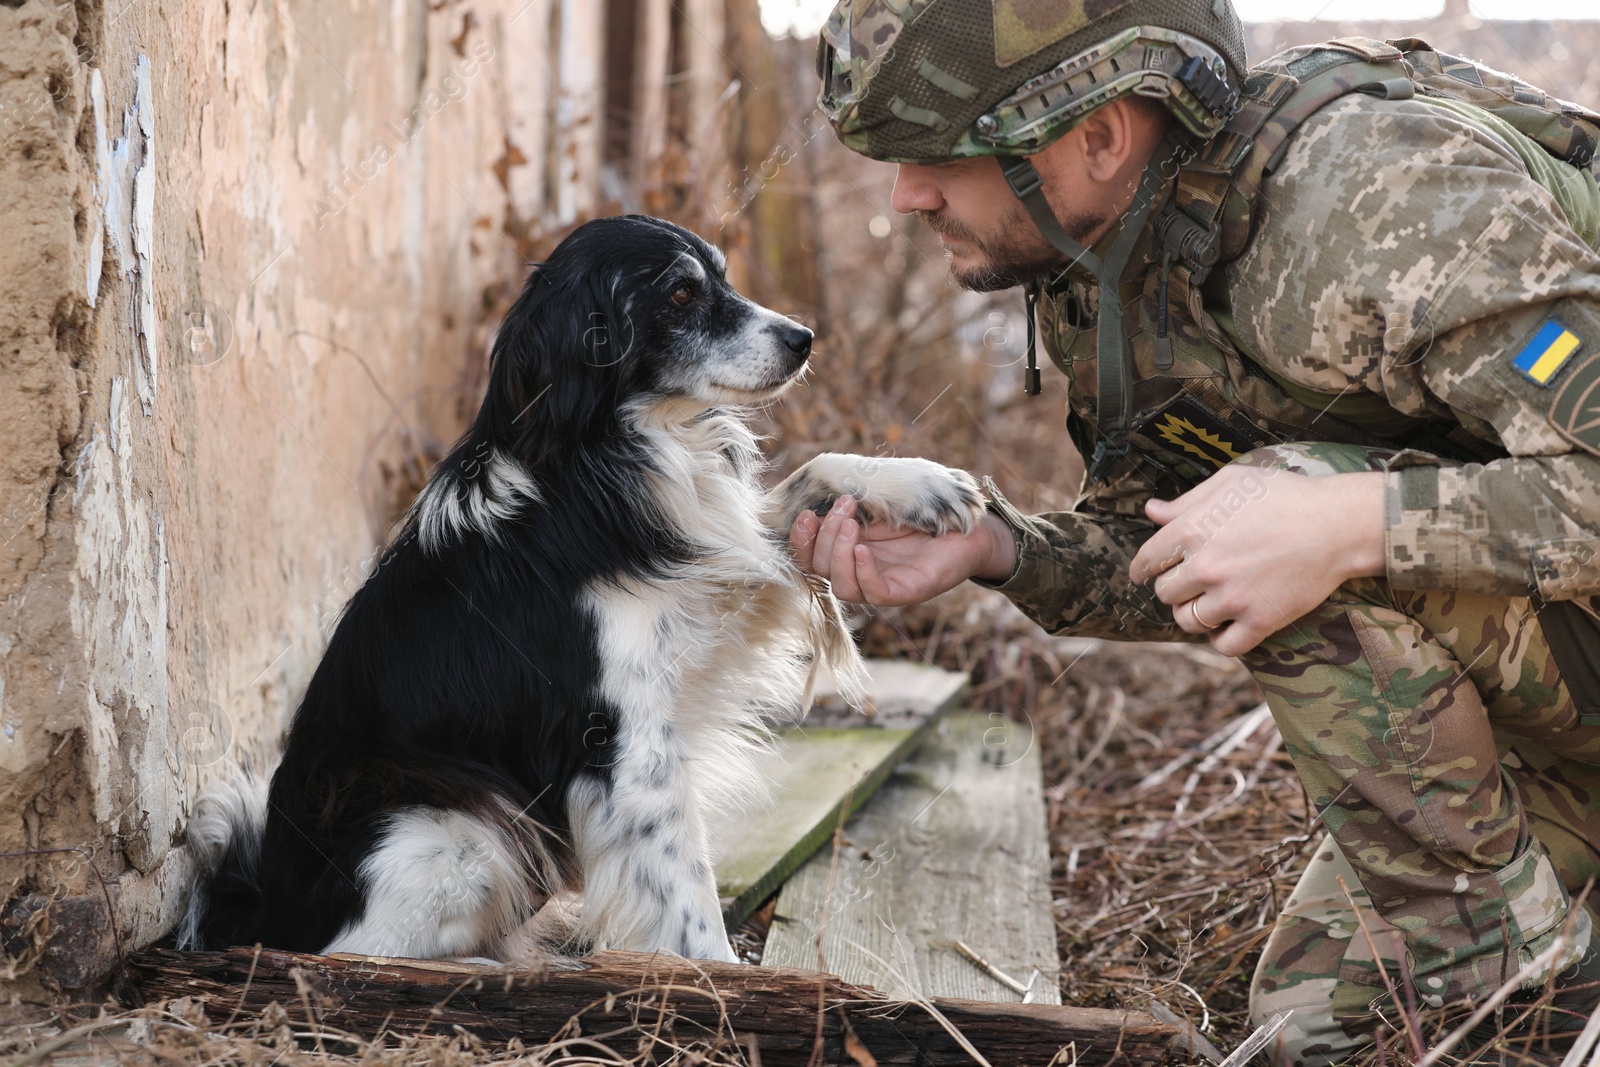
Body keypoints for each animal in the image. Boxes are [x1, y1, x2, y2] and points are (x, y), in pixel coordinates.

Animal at [184, 212, 985, 966]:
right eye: (681, 293)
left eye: (723, 278)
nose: (804, 338)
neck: (605, 458)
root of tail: (261, 906)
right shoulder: (623, 740)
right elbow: (685, 887)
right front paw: (726, 977)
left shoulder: (714, 562)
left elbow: (810, 476)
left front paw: (922, 485)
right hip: (455, 831)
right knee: (354, 952)